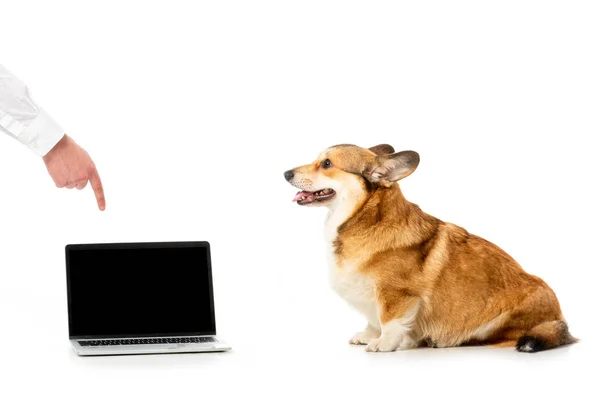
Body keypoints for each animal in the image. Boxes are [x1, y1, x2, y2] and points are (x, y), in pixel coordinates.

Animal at [284, 144, 576, 354]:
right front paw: (368, 335)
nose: (286, 174)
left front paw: (384, 343)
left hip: (504, 320)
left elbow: (389, 320)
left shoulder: (395, 294)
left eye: (327, 164)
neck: (363, 218)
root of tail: (560, 319)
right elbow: (372, 319)